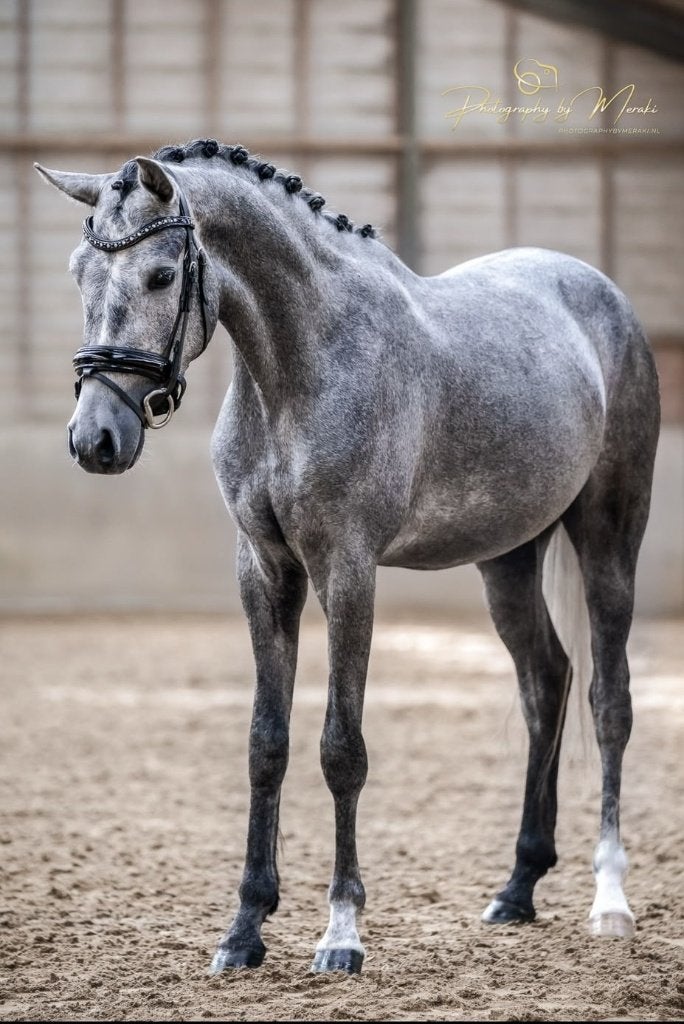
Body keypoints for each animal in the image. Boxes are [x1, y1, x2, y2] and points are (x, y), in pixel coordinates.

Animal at [35, 139, 660, 975]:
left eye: (162, 275)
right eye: (79, 271)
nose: (96, 440)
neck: (301, 367)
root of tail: (602, 295)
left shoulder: (347, 570)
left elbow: (341, 748)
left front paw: (341, 933)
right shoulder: (265, 572)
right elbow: (267, 744)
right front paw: (244, 931)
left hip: (609, 538)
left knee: (608, 700)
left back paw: (610, 899)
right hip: (507, 557)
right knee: (545, 683)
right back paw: (518, 888)